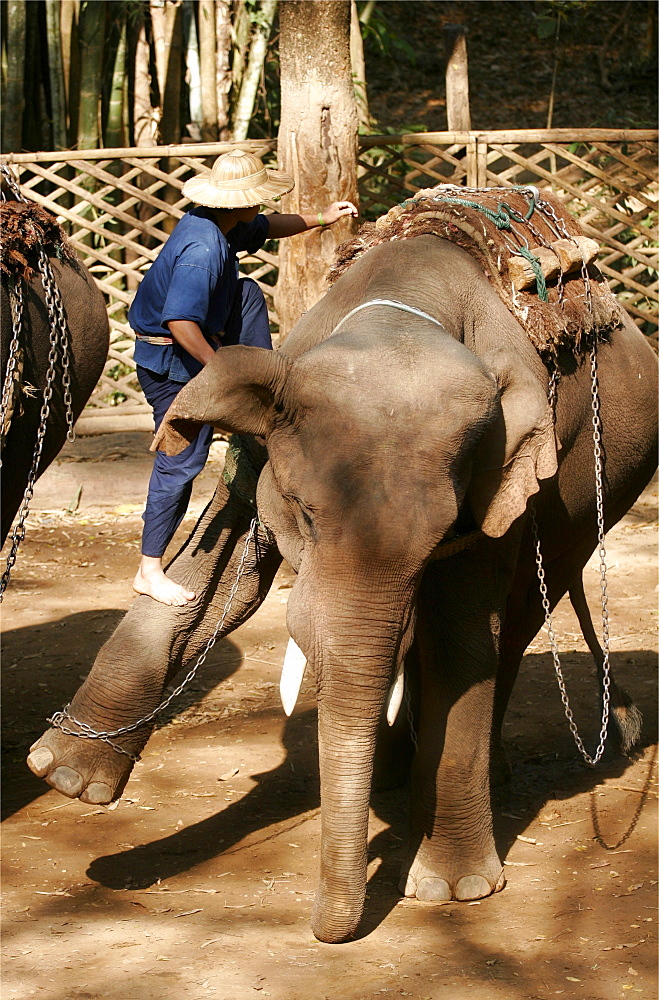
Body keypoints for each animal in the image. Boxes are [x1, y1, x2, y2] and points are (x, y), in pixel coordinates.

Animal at [25, 234, 656, 944]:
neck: (402, 312)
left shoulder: (506, 480)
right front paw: (63, 774)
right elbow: (221, 579)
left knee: (514, 626)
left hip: (595, 501)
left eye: (445, 533)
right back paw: (395, 777)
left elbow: (462, 638)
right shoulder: (269, 441)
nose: (327, 931)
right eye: (303, 513)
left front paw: (451, 889)